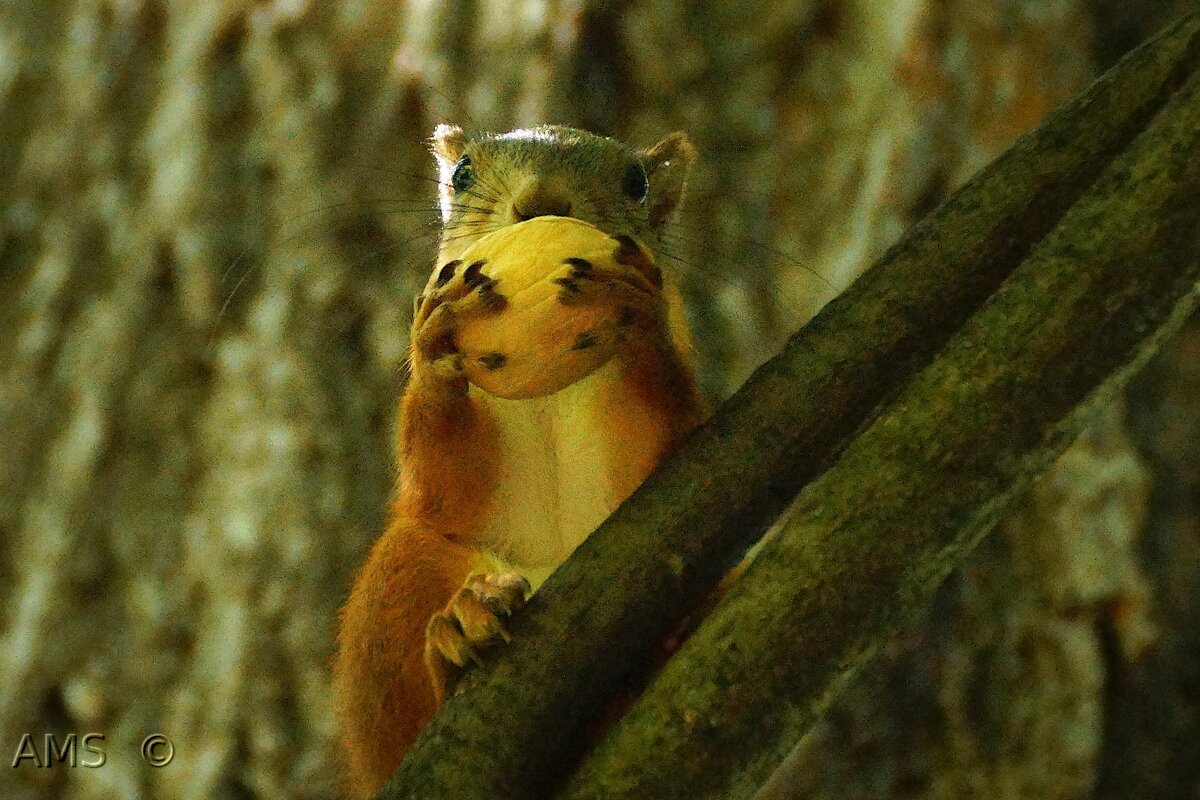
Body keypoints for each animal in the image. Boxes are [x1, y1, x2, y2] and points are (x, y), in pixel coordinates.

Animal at [333, 122, 705, 796]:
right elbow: (441, 477)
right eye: (461, 175)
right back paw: (458, 639)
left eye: (636, 183)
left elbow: (660, 443)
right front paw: (437, 345)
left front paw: (638, 314)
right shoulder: (443, 485)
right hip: (398, 582)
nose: (541, 199)